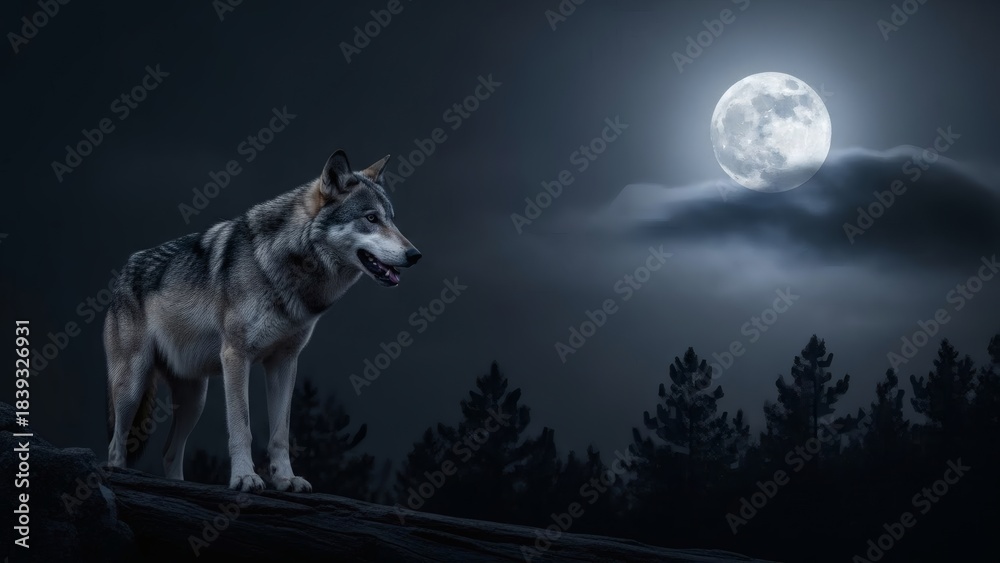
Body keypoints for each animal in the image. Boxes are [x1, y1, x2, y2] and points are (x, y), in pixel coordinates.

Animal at [105, 150, 420, 492]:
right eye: (371, 218)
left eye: (391, 218)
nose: (415, 255)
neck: (288, 266)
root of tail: (123, 271)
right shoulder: (236, 356)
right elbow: (242, 426)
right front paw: (244, 477)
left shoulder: (284, 362)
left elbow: (280, 432)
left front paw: (285, 479)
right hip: (132, 387)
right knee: (116, 444)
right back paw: (118, 473)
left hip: (194, 399)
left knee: (168, 453)